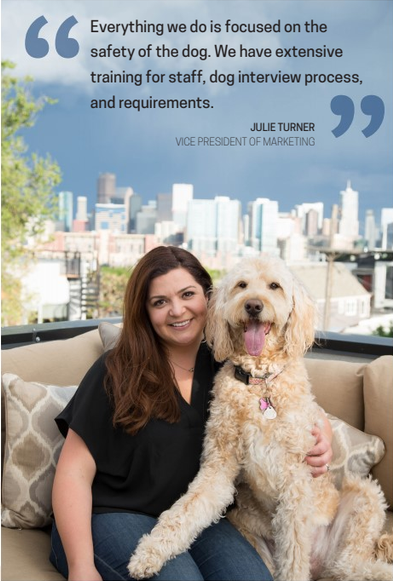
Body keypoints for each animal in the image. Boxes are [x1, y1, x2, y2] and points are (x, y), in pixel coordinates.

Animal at [129, 255, 392, 580]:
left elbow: (294, 551)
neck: (259, 382)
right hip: (248, 530)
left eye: (274, 286)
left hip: (364, 495)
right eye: (242, 285)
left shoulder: (295, 480)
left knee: (351, 564)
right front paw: (148, 552)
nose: (253, 305)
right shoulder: (219, 464)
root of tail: (320, 564)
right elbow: (186, 510)